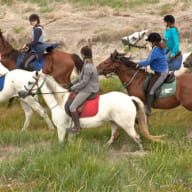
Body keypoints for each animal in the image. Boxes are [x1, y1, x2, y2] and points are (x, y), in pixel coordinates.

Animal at [17, 71, 164, 150]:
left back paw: (140, 152)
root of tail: (129, 98)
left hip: (126, 124)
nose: (20, 93)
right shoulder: (69, 129)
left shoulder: (61, 127)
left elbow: (60, 142)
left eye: (30, 82)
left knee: (137, 137)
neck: (59, 101)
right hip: (113, 122)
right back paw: (105, 147)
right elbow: (70, 141)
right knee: (115, 135)